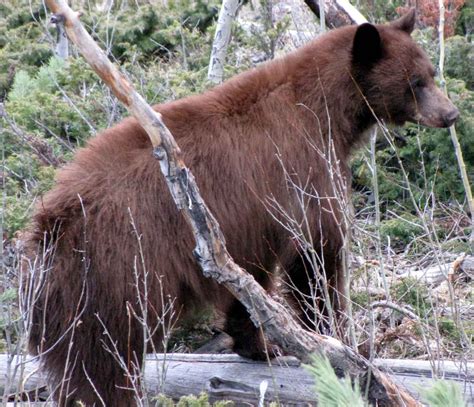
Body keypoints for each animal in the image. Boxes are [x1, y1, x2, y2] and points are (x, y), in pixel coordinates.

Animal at [23, 10, 460, 407]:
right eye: (416, 82)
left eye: (430, 74)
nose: (451, 113)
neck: (326, 111)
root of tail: (54, 222)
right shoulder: (301, 169)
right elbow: (316, 254)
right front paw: (336, 338)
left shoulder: (242, 229)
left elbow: (250, 285)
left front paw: (261, 345)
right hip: (122, 269)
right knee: (103, 355)